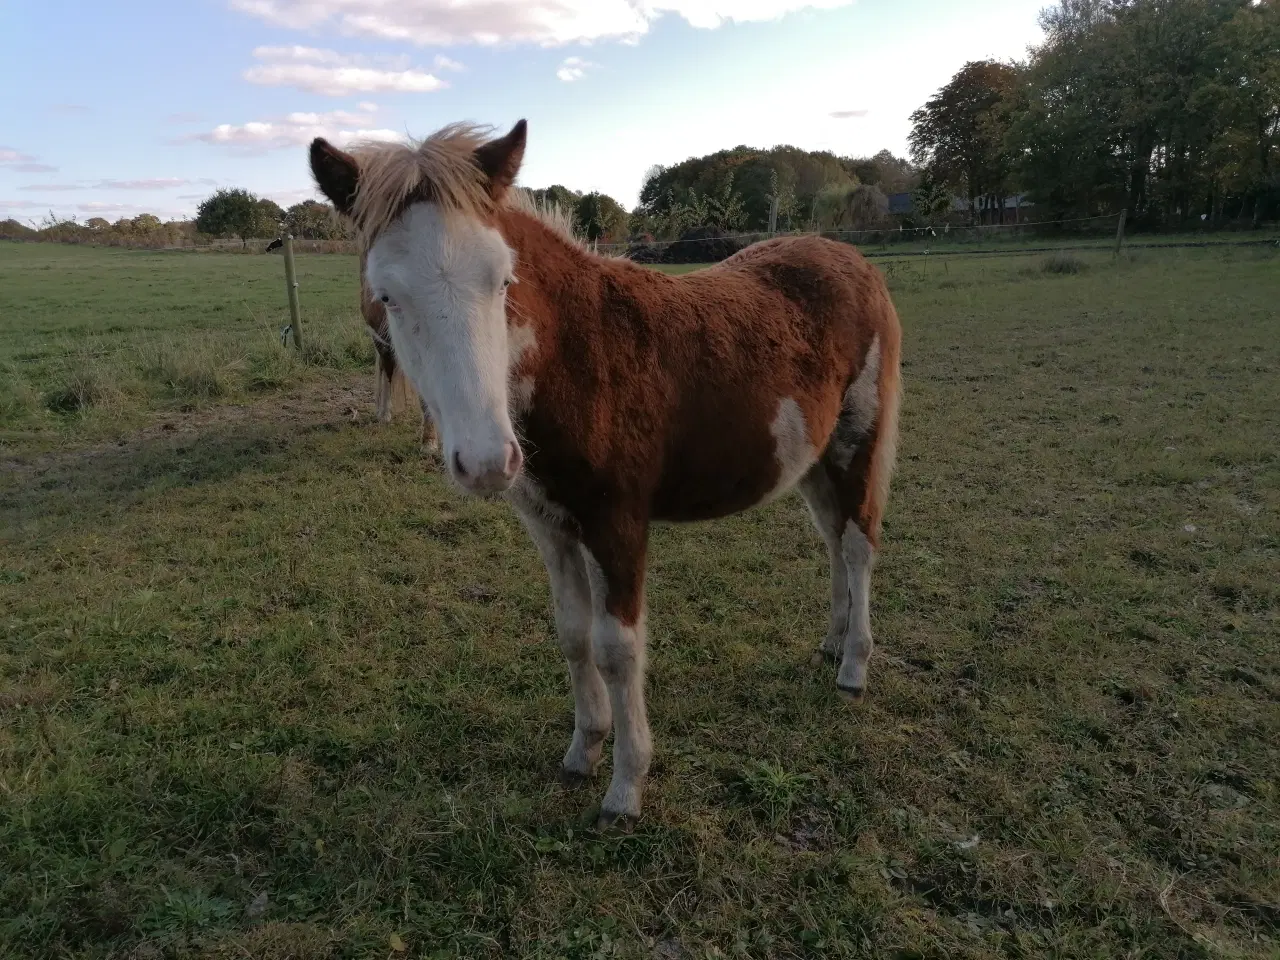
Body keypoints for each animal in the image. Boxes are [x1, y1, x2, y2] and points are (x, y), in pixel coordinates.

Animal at [312, 120, 901, 829]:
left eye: (503, 281)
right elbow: (572, 634)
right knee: (832, 537)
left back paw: (854, 667)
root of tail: (854, 261)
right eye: (387, 297)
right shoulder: (550, 524)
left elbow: (617, 649)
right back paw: (832, 642)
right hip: (812, 457)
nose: (486, 462)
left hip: (859, 437)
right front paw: (583, 750)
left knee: (859, 542)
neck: (578, 355)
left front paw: (625, 788)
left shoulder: (617, 522)